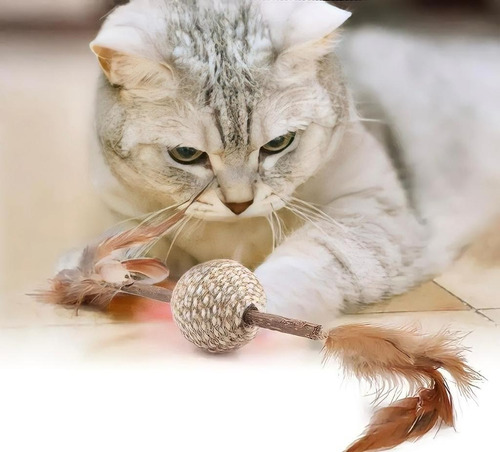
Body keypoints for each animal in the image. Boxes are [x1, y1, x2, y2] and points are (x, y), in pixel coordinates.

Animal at [78, 0, 500, 324]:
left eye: (279, 144)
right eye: (186, 155)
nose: (238, 204)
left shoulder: (376, 211)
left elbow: (310, 259)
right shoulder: (129, 216)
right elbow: (124, 245)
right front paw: (93, 275)